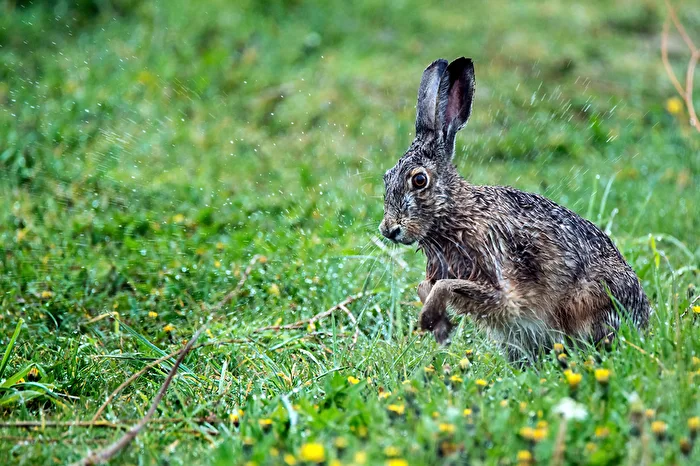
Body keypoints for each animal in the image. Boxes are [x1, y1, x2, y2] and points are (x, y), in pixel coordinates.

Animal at [379, 57, 651, 362]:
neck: (456, 213)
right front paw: (440, 326)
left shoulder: (500, 284)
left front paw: (427, 320)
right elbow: (425, 286)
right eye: (386, 178)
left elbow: (447, 286)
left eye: (419, 180)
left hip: (590, 300)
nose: (388, 230)